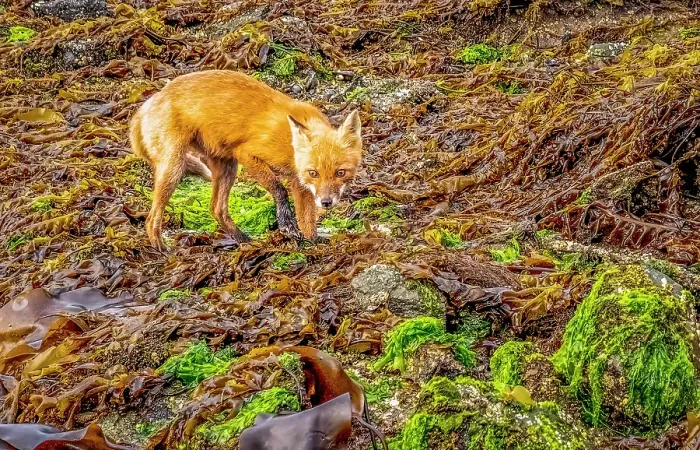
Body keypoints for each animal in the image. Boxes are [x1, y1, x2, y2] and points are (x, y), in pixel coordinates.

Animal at [128, 70, 363, 250]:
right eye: (314, 173)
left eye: (340, 173)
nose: (326, 202)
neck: (290, 144)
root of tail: (145, 105)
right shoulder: (248, 153)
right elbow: (279, 189)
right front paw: (286, 224)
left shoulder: (300, 182)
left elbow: (307, 218)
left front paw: (311, 241)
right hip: (174, 168)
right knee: (151, 218)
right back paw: (160, 248)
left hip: (227, 168)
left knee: (217, 209)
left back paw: (244, 240)